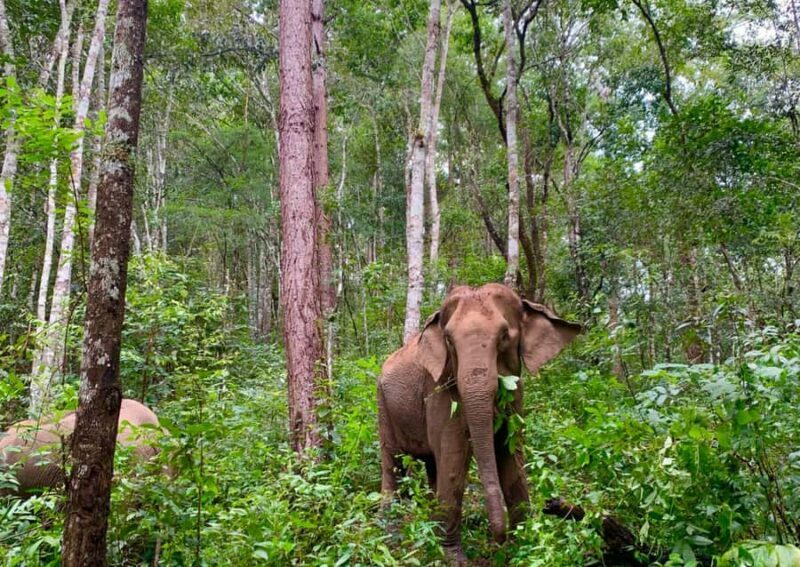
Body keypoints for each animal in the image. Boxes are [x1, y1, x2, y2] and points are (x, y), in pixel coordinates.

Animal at [378, 283, 581, 562]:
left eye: (504, 335)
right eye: (449, 340)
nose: (498, 541)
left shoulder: (516, 394)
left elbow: (511, 453)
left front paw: (523, 546)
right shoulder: (440, 388)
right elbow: (454, 457)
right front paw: (454, 558)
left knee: (432, 464)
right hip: (382, 405)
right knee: (393, 462)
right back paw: (390, 529)